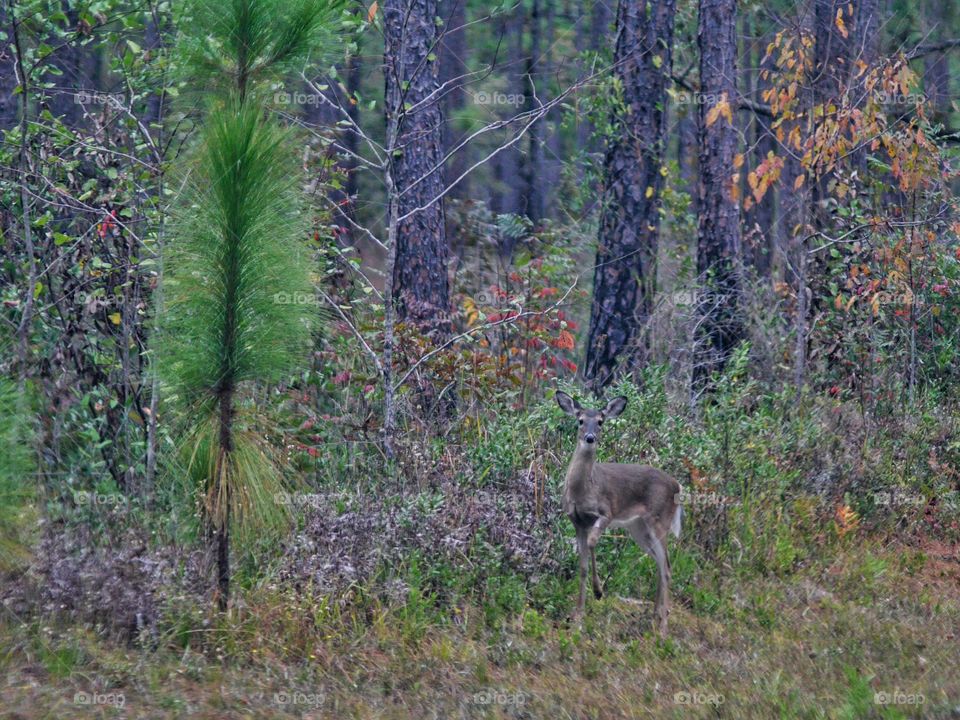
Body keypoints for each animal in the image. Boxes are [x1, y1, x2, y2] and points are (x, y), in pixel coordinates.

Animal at [556, 390, 684, 632]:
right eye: (580, 420)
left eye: (600, 421)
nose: (590, 438)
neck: (583, 489)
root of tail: (677, 486)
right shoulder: (577, 522)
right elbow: (582, 567)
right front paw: (577, 616)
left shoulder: (607, 513)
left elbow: (593, 542)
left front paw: (598, 591)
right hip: (639, 528)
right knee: (659, 563)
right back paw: (654, 615)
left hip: (659, 521)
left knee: (667, 567)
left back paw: (663, 628)